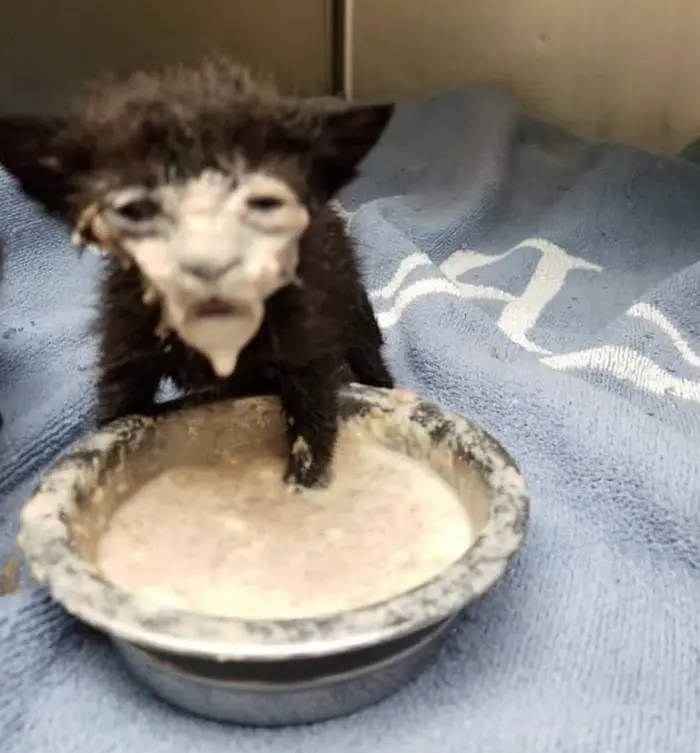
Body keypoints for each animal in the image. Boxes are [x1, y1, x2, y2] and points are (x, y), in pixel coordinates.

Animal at [0, 58, 396, 488]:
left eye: (262, 203)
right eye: (138, 210)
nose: (209, 266)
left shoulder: (308, 336)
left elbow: (314, 424)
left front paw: (303, 486)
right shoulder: (126, 344)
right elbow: (115, 417)